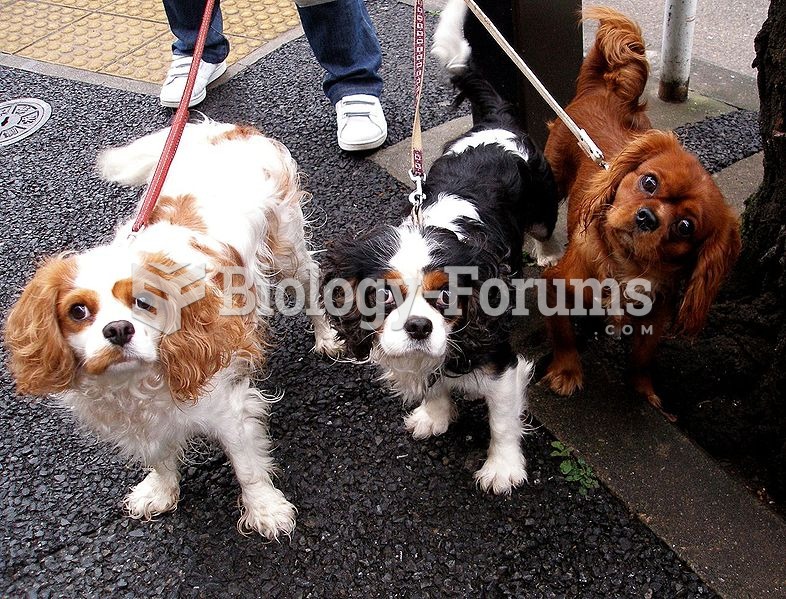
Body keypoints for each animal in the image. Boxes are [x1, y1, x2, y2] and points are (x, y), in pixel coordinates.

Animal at [3, 119, 340, 540]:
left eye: (144, 301)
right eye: (78, 311)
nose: (118, 330)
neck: (135, 383)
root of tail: (227, 129)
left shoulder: (229, 408)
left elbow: (246, 466)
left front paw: (265, 509)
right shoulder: (144, 421)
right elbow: (160, 456)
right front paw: (161, 491)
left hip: (287, 250)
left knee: (310, 289)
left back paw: (326, 337)